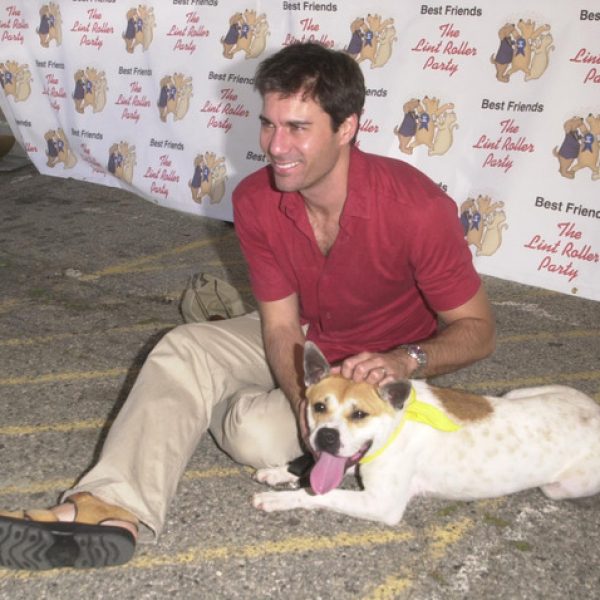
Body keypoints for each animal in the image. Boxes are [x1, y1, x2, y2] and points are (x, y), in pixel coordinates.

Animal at [252, 342, 600, 524]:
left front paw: (280, 498)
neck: (397, 422)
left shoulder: (382, 503)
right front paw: (282, 472)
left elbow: (323, 495)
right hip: (518, 393)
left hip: (558, 488)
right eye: (319, 406)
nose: (326, 437)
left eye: (360, 414)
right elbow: (315, 473)